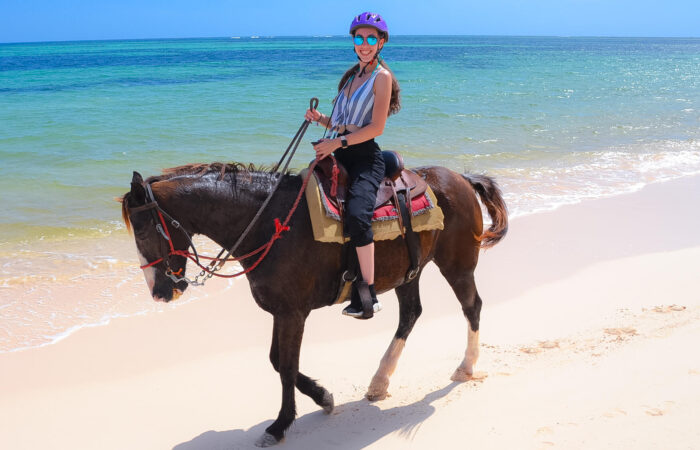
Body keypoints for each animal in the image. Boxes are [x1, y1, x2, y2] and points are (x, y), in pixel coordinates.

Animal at [120, 161, 508, 447]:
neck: (268, 223)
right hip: (407, 273)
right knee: (411, 314)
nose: (159, 292)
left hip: (457, 264)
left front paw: (280, 425)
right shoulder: (281, 310)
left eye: (143, 231)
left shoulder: (294, 313)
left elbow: (286, 366)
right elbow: (277, 361)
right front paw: (323, 397)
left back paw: (466, 367)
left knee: (472, 306)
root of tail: (461, 178)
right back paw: (379, 381)